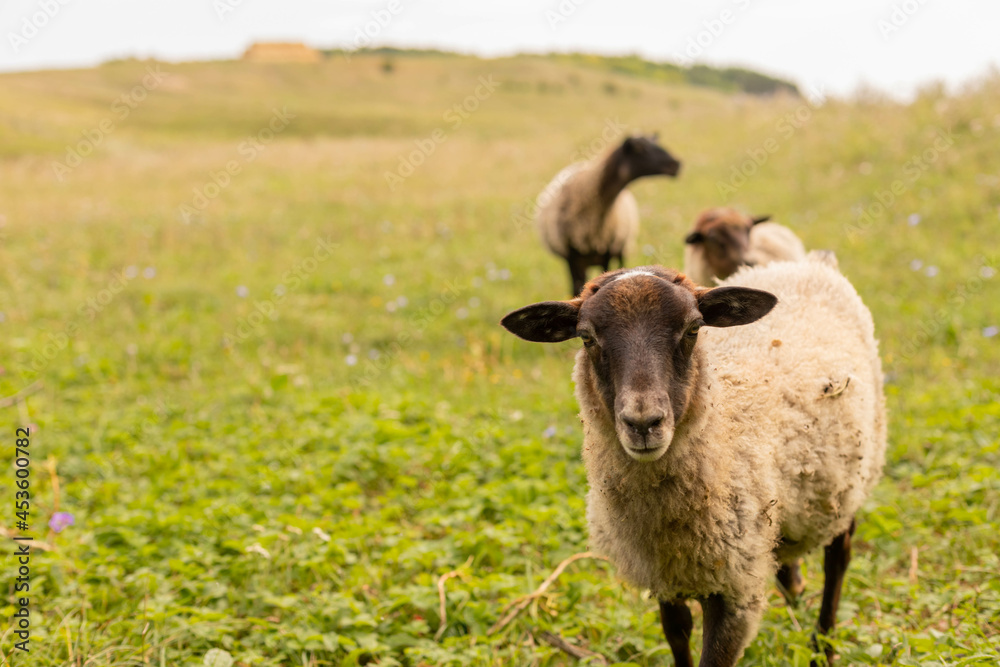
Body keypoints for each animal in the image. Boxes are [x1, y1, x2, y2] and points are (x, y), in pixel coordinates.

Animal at [500, 262, 884, 667]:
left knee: (838, 555)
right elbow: (677, 632)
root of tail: (803, 263)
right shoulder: (664, 576)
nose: (643, 423)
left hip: (846, 478)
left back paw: (823, 646)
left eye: (694, 329)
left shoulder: (735, 592)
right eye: (586, 337)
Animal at [540, 134, 680, 296]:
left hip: (621, 246)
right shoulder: (571, 255)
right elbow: (576, 288)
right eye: (641, 148)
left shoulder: (607, 249)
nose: (677, 164)